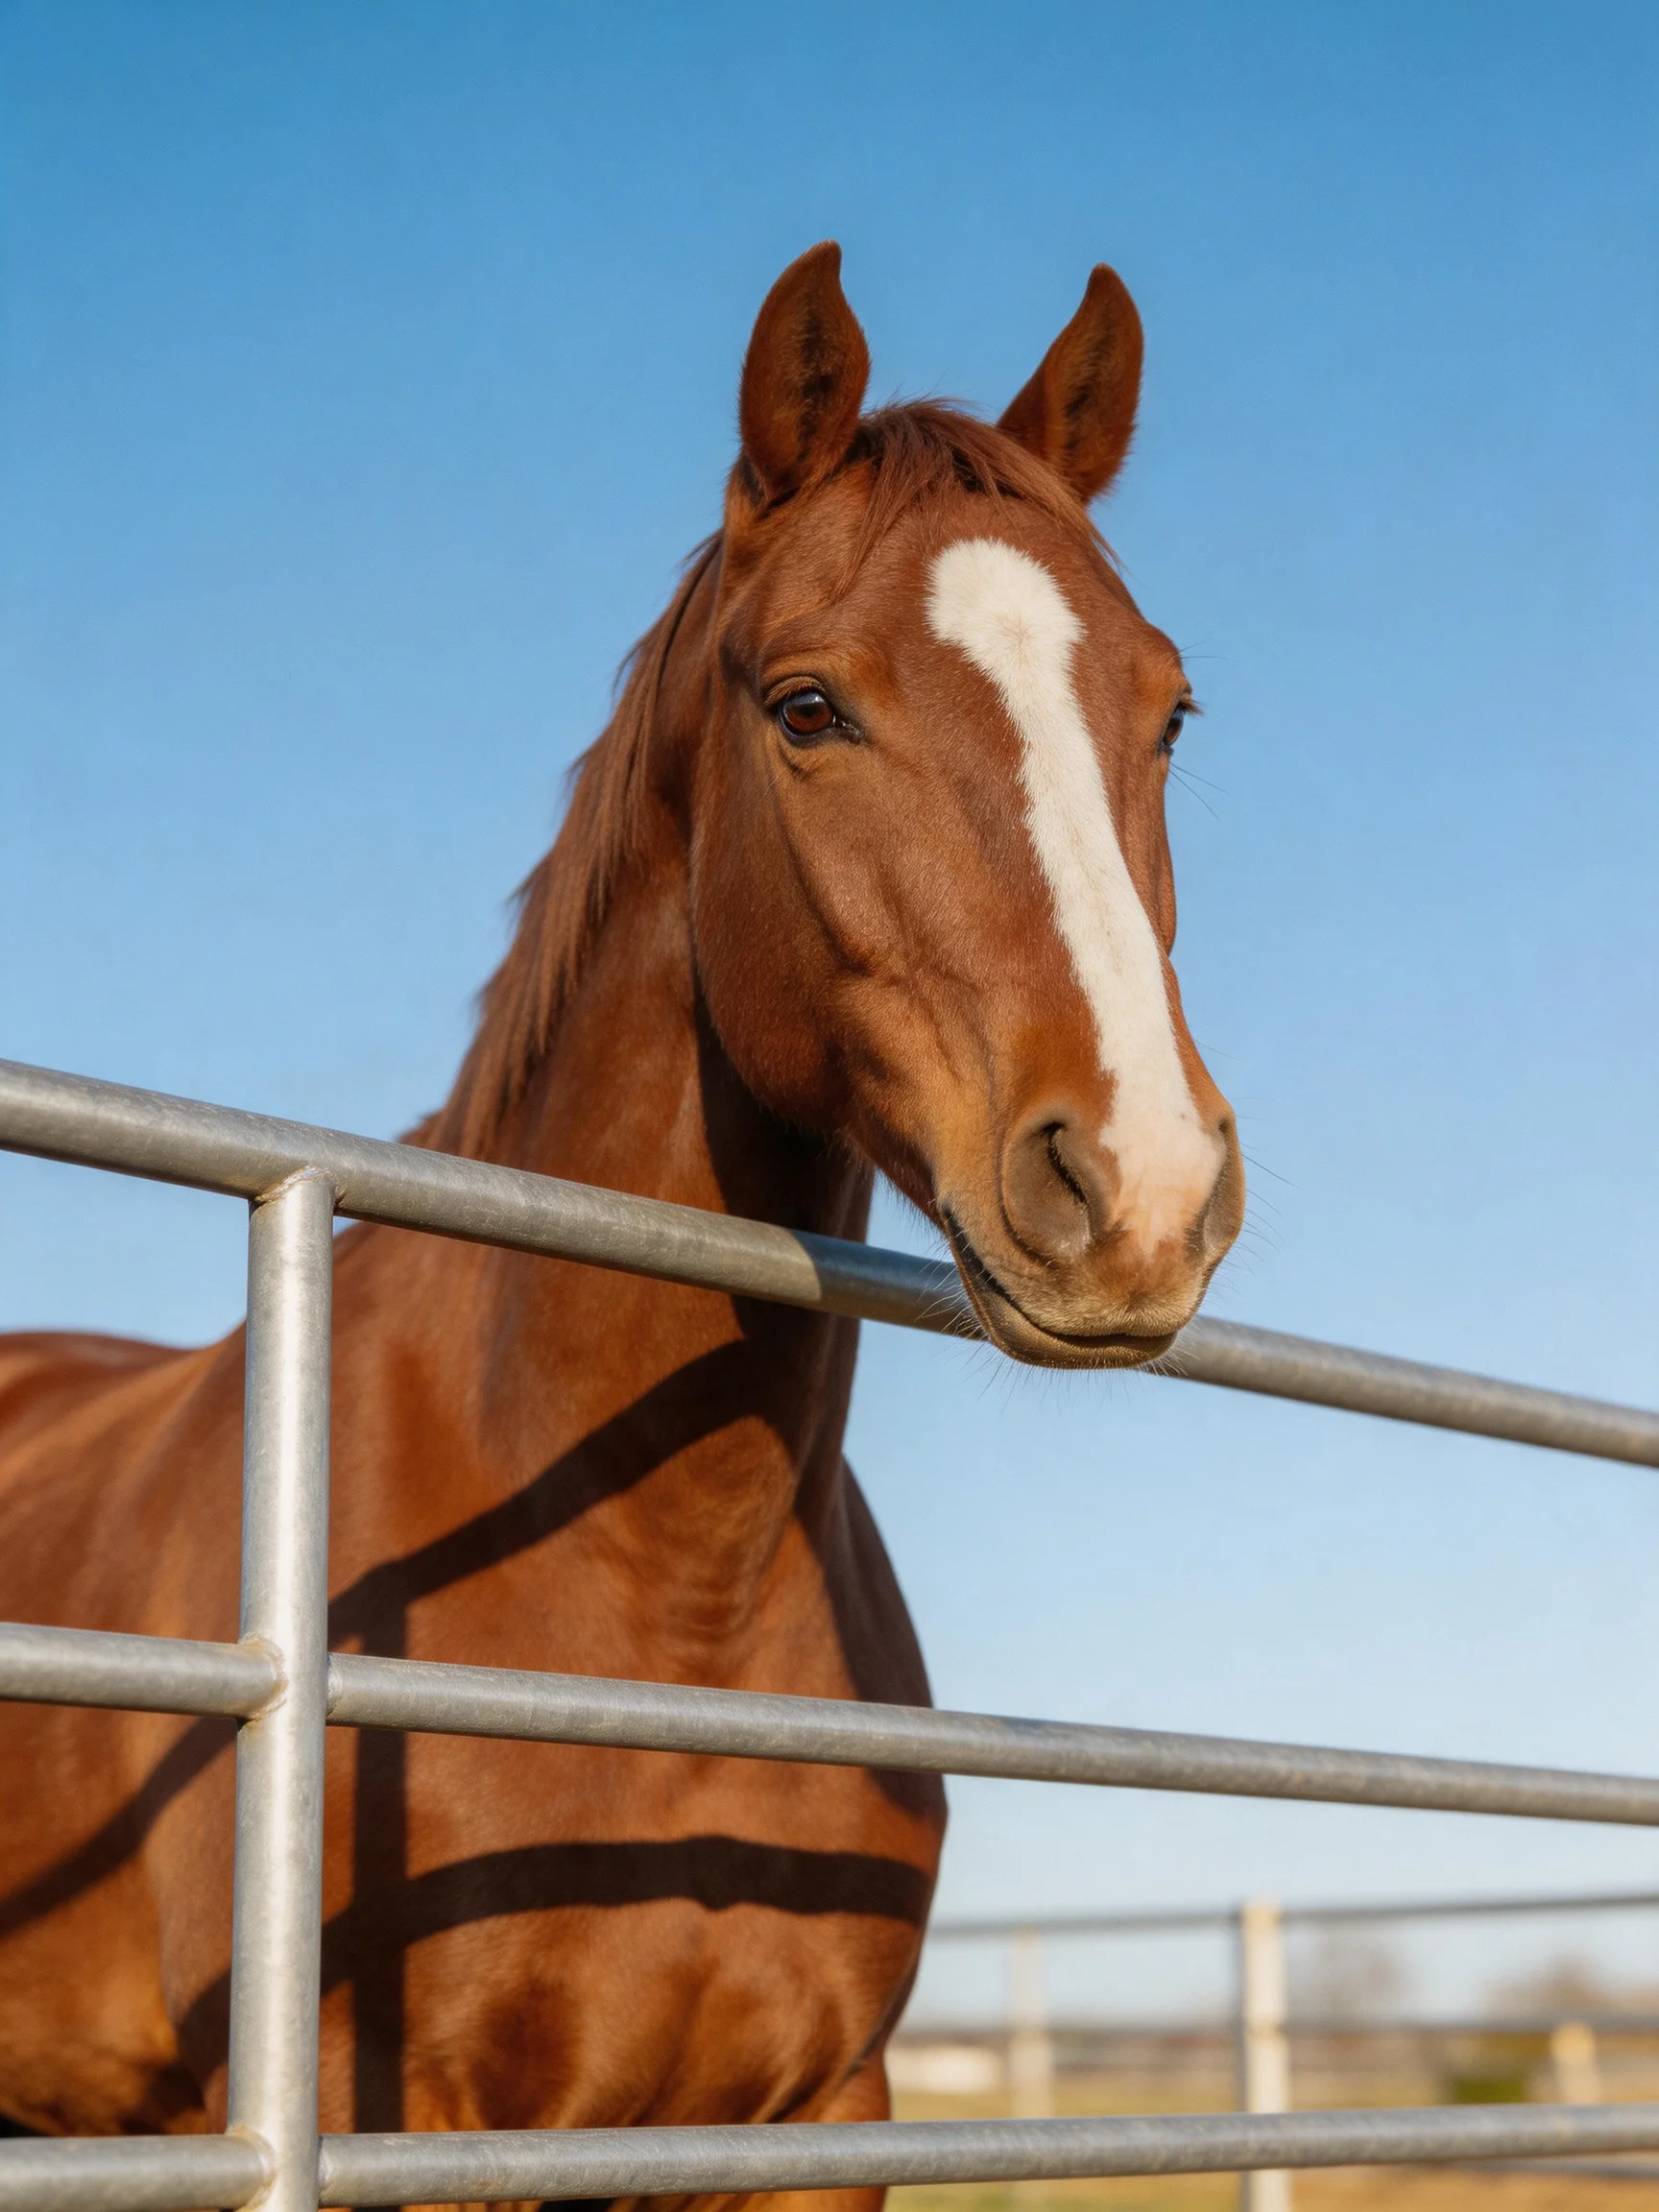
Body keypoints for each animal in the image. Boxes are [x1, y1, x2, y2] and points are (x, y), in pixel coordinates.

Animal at [0, 242, 1243, 2205]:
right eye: (805, 706)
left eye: (1168, 709)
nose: (1139, 1192)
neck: (660, 1604)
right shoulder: (383, 2120)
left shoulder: (814, 2125)